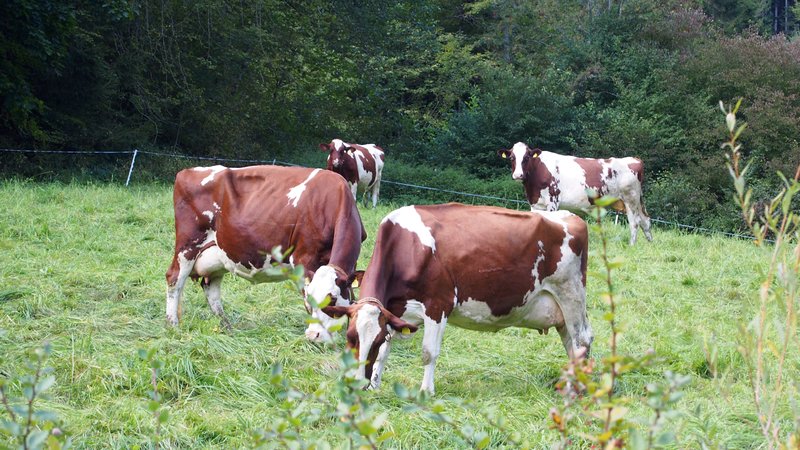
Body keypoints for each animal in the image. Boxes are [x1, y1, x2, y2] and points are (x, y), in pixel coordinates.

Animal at [166, 163, 366, 342]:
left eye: (332, 300)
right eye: (310, 300)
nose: (313, 336)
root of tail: (186, 171)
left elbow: (352, 296)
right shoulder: (304, 258)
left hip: (219, 254)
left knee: (210, 288)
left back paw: (227, 328)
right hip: (188, 246)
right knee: (174, 279)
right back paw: (173, 325)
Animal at [320, 203, 592, 394]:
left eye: (372, 342)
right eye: (350, 337)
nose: (357, 384)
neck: (407, 248)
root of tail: (570, 217)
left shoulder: (438, 304)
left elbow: (428, 352)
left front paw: (425, 392)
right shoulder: (394, 311)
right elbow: (387, 350)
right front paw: (376, 383)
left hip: (571, 293)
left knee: (581, 341)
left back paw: (572, 391)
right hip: (561, 307)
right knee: (572, 342)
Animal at [496, 142, 652, 244]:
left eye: (527, 157)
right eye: (512, 158)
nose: (518, 175)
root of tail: (634, 159)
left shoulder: (553, 201)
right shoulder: (535, 204)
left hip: (630, 199)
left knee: (635, 223)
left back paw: (632, 245)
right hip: (637, 201)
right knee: (645, 220)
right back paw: (650, 243)